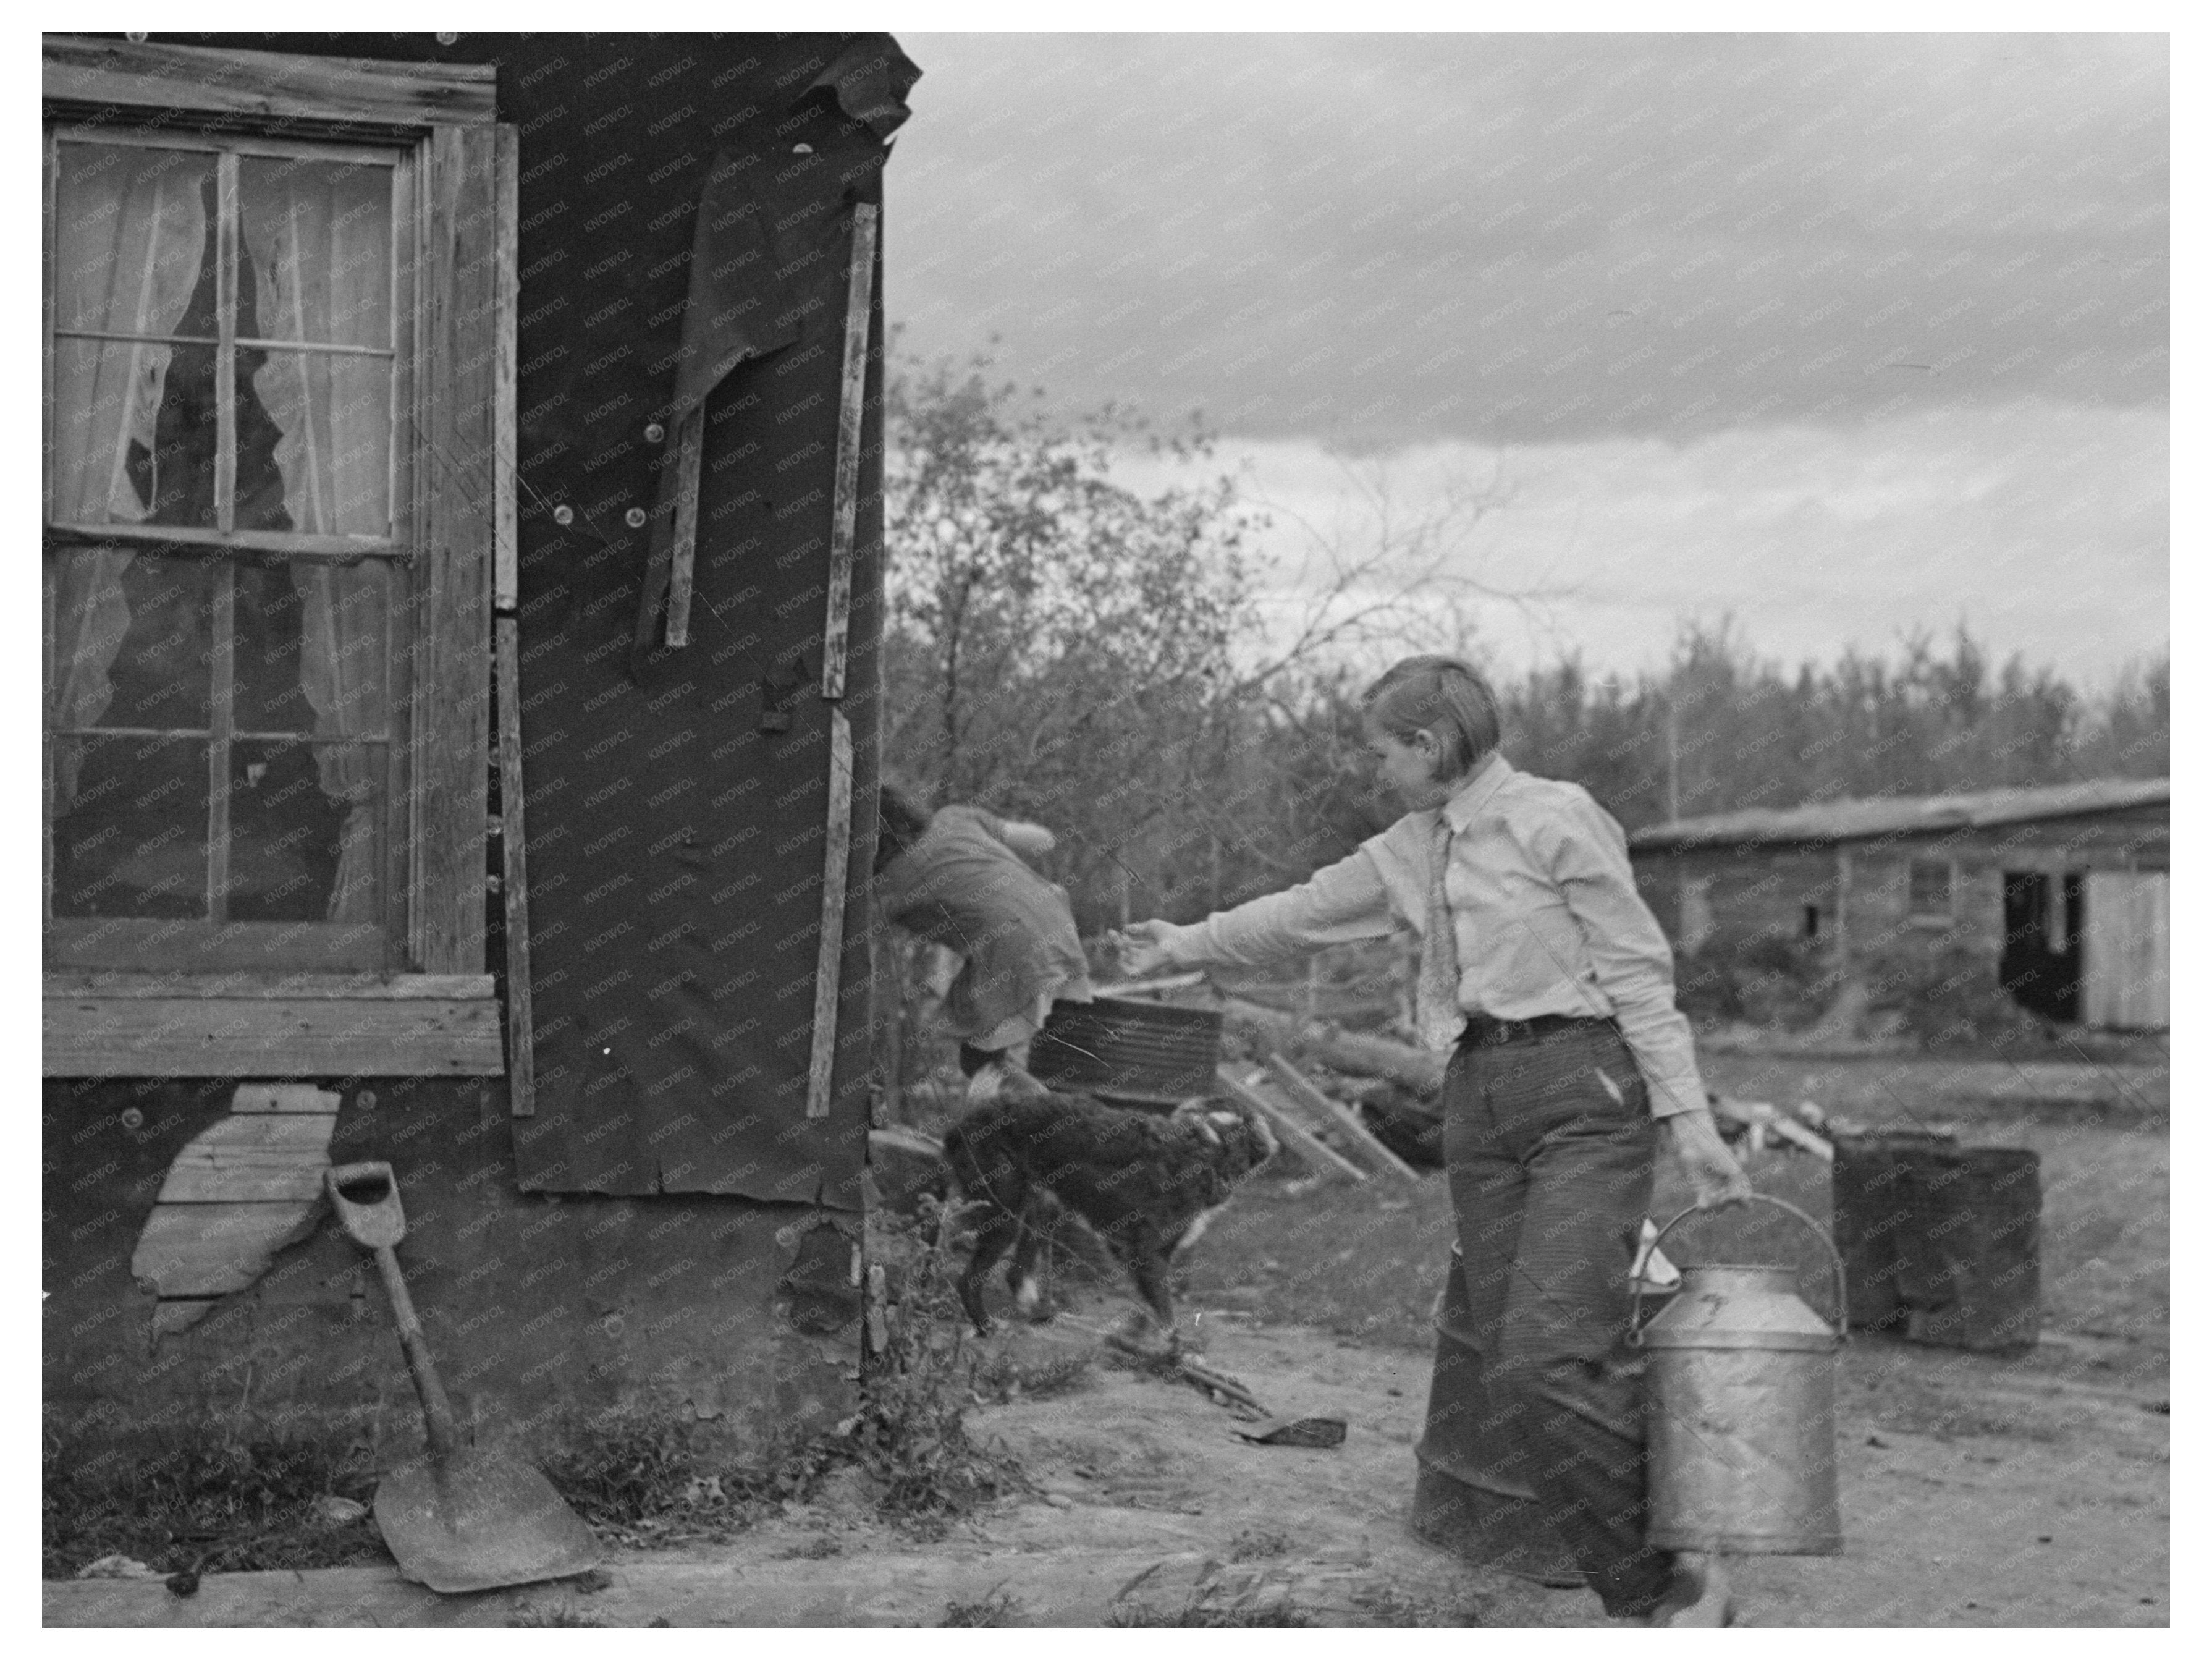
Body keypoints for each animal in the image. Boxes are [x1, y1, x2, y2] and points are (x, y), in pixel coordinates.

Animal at [947, 1093, 1283, 1337]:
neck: (1205, 1150)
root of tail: (964, 1121)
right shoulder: (1146, 1251)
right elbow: (1166, 1315)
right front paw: (1175, 1351)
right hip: (1006, 1213)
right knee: (968, 1278)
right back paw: (986, 1326)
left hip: (1045, 1204)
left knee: (1016, 1274)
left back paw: (1040, 1314)